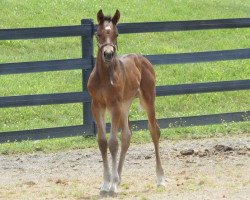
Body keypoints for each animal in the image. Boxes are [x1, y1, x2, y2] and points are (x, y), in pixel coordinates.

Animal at [87, 9, 165, 195]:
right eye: (98, 34)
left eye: (116, 34)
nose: (108, 54)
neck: (104, 77)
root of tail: (142, 59)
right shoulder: (97, 106)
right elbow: (103, 142)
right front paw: (106, 183)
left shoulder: (114, 105)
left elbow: (113, 143)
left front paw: (112, 185)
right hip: (125, 105)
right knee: (127, 136)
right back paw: (119, 178)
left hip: (147, 99)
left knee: (154, 131)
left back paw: (160, 178)